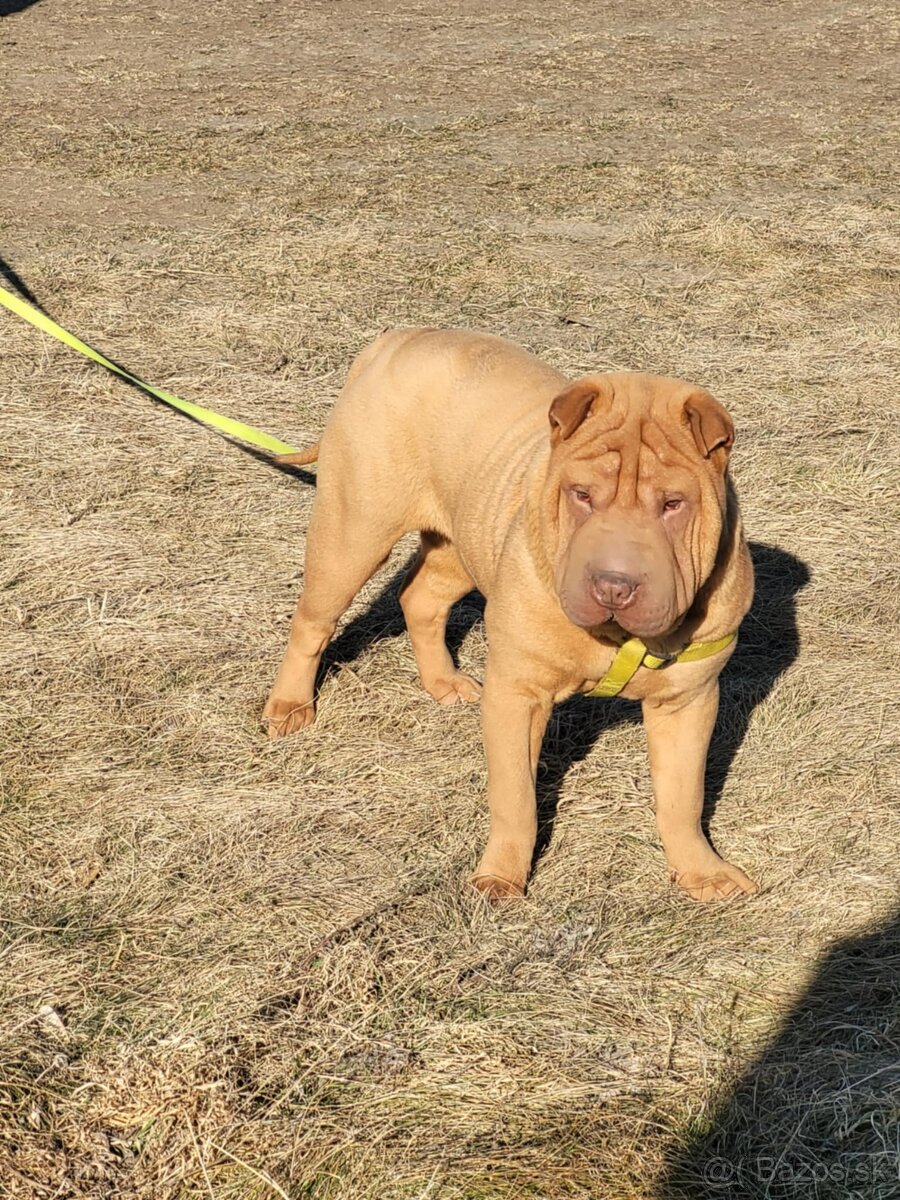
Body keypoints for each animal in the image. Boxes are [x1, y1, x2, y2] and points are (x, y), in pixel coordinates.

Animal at [264, 328, 758, 902]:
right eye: (581, 495)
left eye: (673, 504)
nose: (614, 584)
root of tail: (402, 336)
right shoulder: (517, 695)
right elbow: (516, 796)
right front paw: (500, 879)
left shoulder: (688, 702)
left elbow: (684, 799)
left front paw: (703, 872)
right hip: (354, 531)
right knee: (313, 621)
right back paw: (289, 707)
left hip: (462, 540)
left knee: (420, 598)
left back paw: (443, 682)